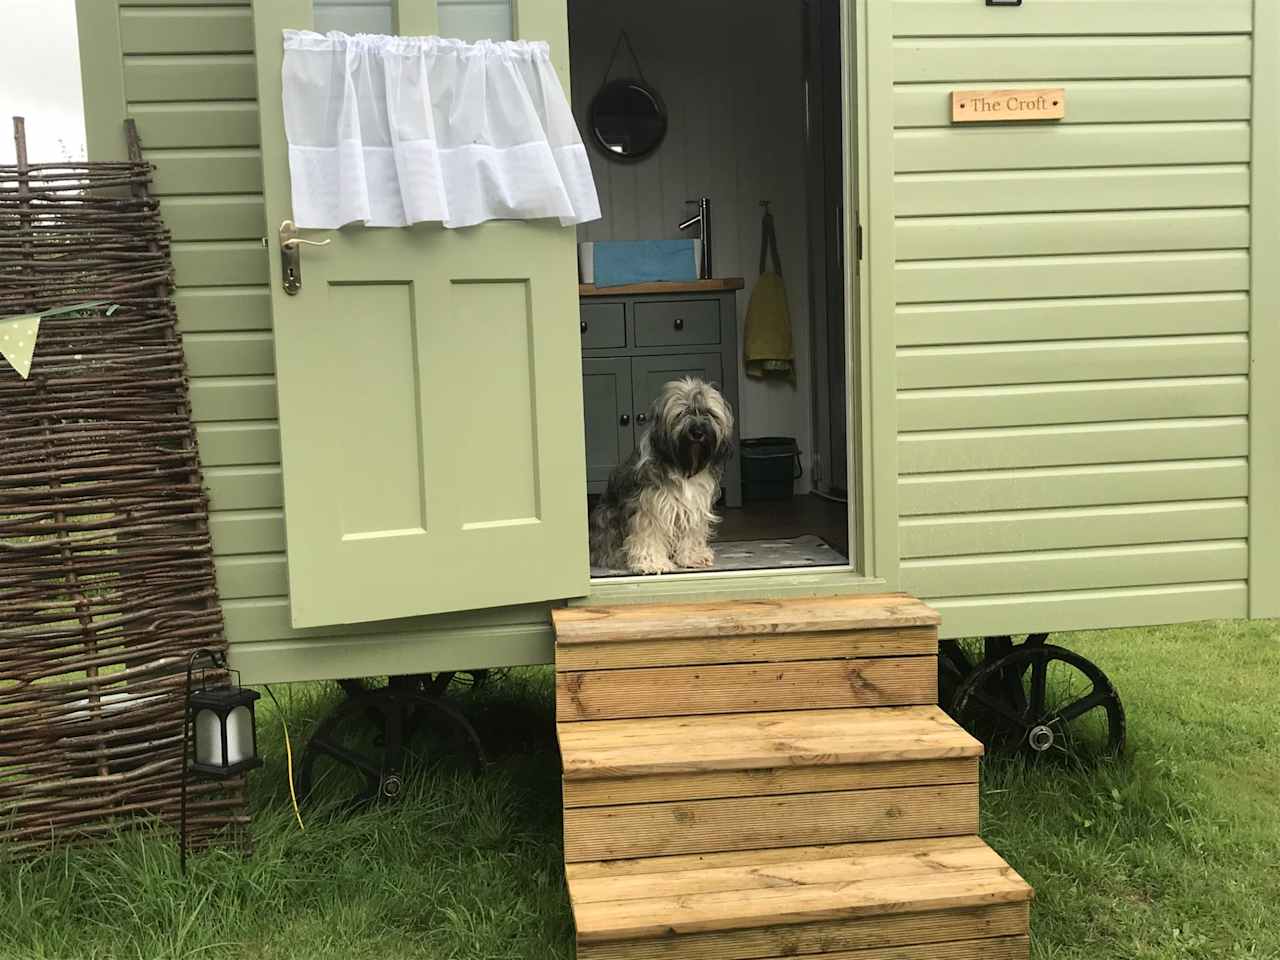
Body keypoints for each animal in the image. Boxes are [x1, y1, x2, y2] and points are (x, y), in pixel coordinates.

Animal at [586, 378, 732, 576]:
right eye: (682, 412)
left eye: (708, 413)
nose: (698, 432)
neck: (683, 465)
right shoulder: (650, 508)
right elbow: (649, 535)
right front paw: (652, 563)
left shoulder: (694, 506)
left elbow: (692, 532)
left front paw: (693, 557)